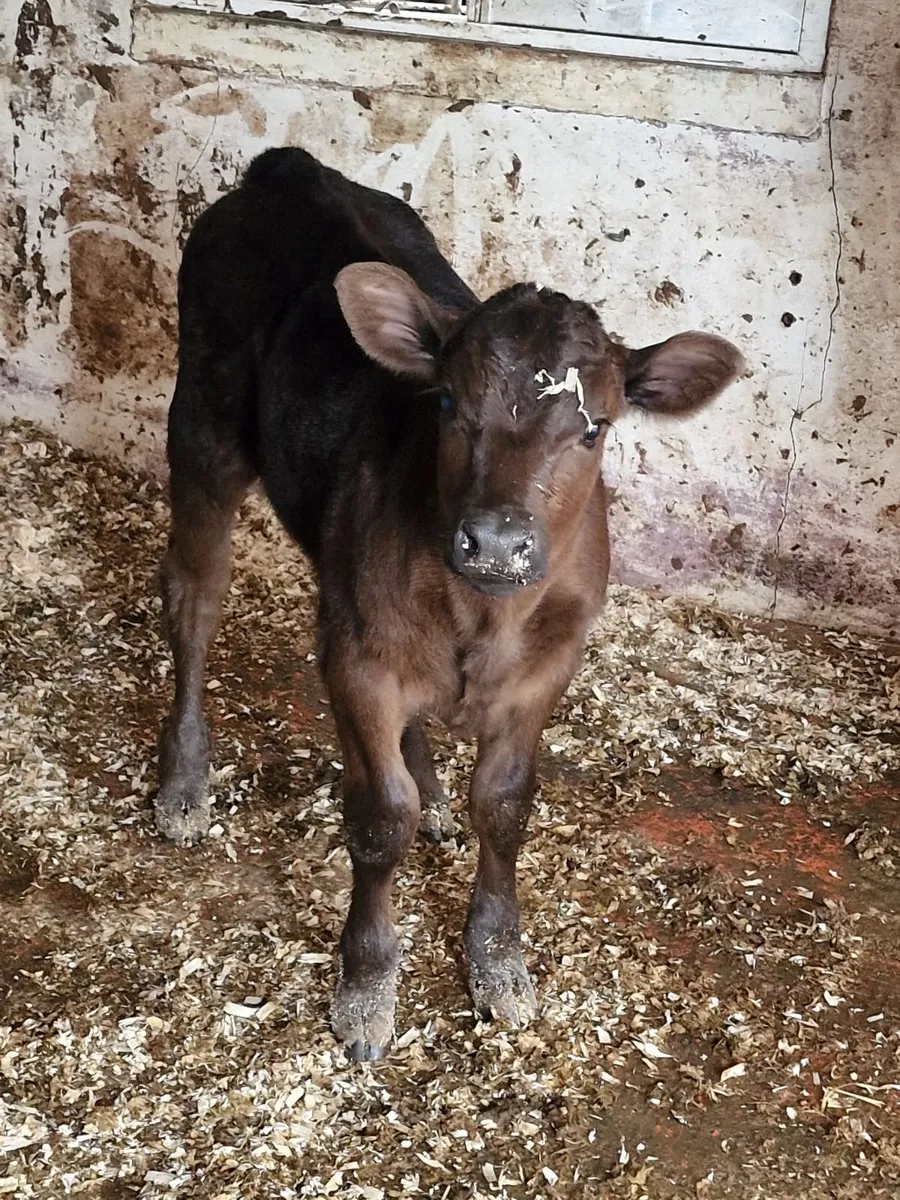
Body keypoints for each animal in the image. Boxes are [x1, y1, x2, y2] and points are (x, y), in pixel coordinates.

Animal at [156, 146, 743, 1060]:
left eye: (595, 428)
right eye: (446, 405)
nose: (496, 544)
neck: (482, 618)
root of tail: (290, 169)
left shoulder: (546, 668)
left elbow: (503, 807)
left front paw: (499, 961)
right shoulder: (358, 659)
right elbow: (378, 816)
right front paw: (367, 985)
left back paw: (433, 794)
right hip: (203, 428)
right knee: (193, 602)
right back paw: (184, 780)